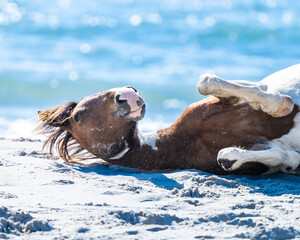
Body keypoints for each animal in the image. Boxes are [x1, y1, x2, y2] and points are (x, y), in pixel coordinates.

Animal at [38, 64, 300, 175]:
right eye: (79, 115)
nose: (126, 93)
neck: (182, 141)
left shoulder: (230, 99)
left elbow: (208, 81)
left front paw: (281, 105)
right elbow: (229, 157)